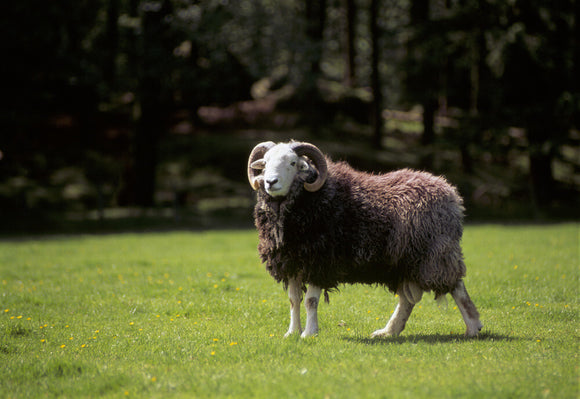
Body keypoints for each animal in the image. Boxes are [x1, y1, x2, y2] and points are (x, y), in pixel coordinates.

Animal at [247, 142, 482, 340]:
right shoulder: (292, 262)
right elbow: (293, 300)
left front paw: (309, 333)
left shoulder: (318, 262)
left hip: (435, 253)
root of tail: (450, 192)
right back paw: (388, 331)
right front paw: (292, 333)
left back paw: (473, 328)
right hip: (405, 261)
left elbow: (310, 301)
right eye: (265, 163)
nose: (270, 182)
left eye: (293, 163)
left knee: (457, 287)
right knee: (408, 300)